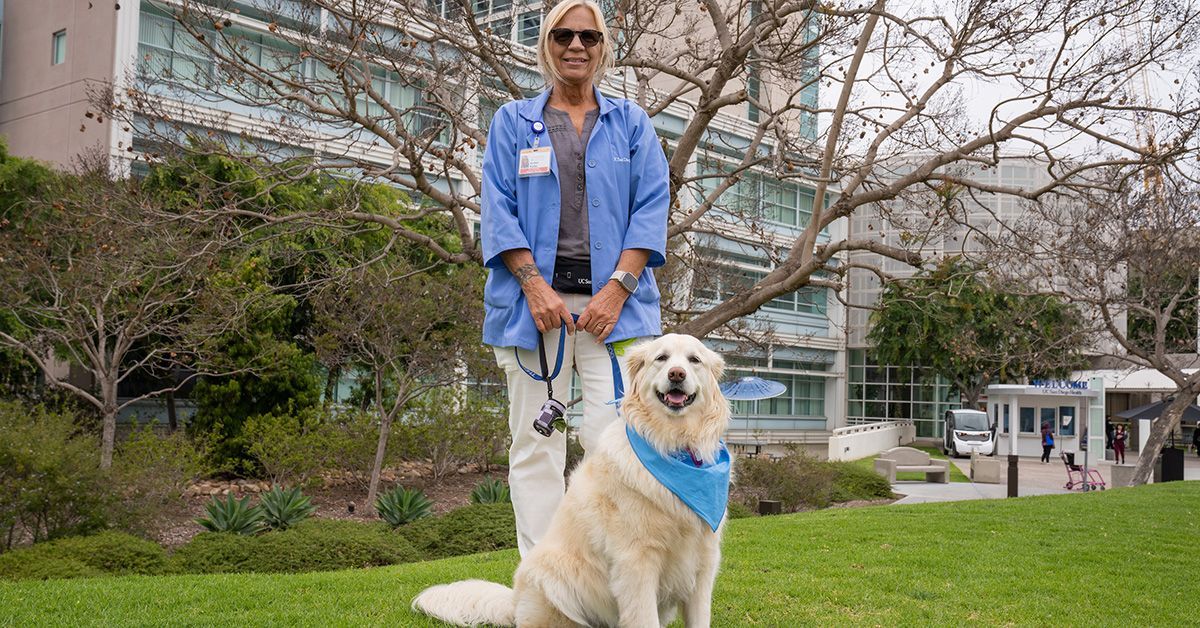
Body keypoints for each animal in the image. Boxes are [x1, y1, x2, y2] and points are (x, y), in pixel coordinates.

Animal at [412, 331, 729, 624]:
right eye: (661, 358)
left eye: (694, 360)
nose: (677, 374)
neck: (674, 445)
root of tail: (514, 603)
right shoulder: (636, 564)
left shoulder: (703, 564)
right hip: (556, 578)